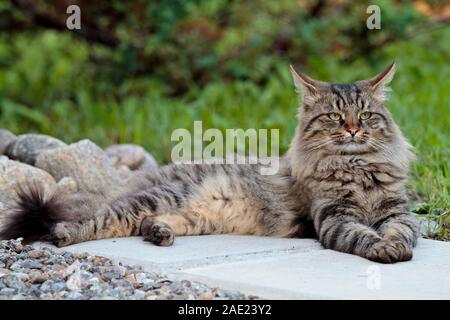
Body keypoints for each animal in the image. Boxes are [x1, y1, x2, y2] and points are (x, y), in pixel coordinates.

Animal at [0, 63, 418, 264]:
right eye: (334, 117)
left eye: (365, 116)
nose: (352, 129)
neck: (357, 169)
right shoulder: (334, 218)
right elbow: (362, 236)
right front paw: (383, 250)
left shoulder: (398, 212)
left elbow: (401, 232)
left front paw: (396, 246)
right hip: (156, 199)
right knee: (100, 220)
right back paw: (64, 234)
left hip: (193, 217)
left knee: (144, 224)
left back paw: (159, 233)